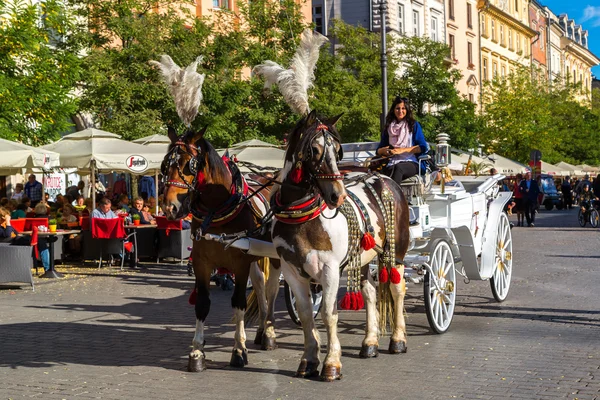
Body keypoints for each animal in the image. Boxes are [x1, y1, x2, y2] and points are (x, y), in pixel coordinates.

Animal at [161, 126, 280, 372]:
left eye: (189, 165)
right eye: (165, 165)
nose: (169, 207)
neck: (217, 211)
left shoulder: (240, 263)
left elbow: (238, 302)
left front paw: (239, 350)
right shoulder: (202, 263)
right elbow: (202, 304)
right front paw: (197, 352)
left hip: (274, 257)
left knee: (272, 289)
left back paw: (269, 333)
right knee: (260, 285)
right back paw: (261, 329)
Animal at [274, 109, 410, 382]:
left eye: (338, 150)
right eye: (314, 150)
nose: (338, 196)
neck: (301, 216)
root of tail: (382, 177)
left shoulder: (330, 268)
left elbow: (329, 314)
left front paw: (331, 363)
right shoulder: (291, 271)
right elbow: (306, 314)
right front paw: (309, 360)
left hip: (396, 252)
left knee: (397, 289)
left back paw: (398, 339)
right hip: (364, 258)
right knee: (370, 293)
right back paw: (370, 343)